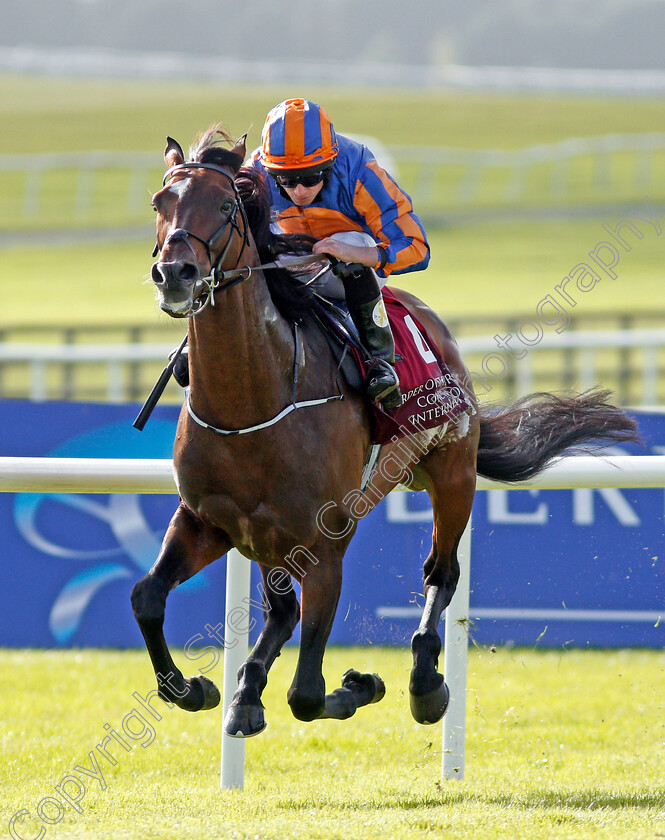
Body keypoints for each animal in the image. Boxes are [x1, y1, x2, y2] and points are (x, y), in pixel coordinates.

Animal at [131, 128, 640, 740]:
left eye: (227, 207)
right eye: (159, 203)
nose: (175, 274)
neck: (252, 399)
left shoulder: (325, 544)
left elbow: (307, 693)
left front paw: (360, 685)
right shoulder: (209, 519)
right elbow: (147, 597)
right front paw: (195, 688)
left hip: (452, 472)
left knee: (441, 572)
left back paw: (425, 684)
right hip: (268, 537)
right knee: (281, 612)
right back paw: (247, 692)